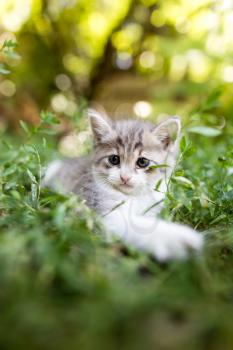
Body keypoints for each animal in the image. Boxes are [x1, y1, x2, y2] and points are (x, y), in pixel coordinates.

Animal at [43, 110, 202, 262]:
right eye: (114, 159)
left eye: (142, 162)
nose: (125, 177)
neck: (133, 196)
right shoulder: (101, 210)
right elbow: (135, 225)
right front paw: (175, 238)